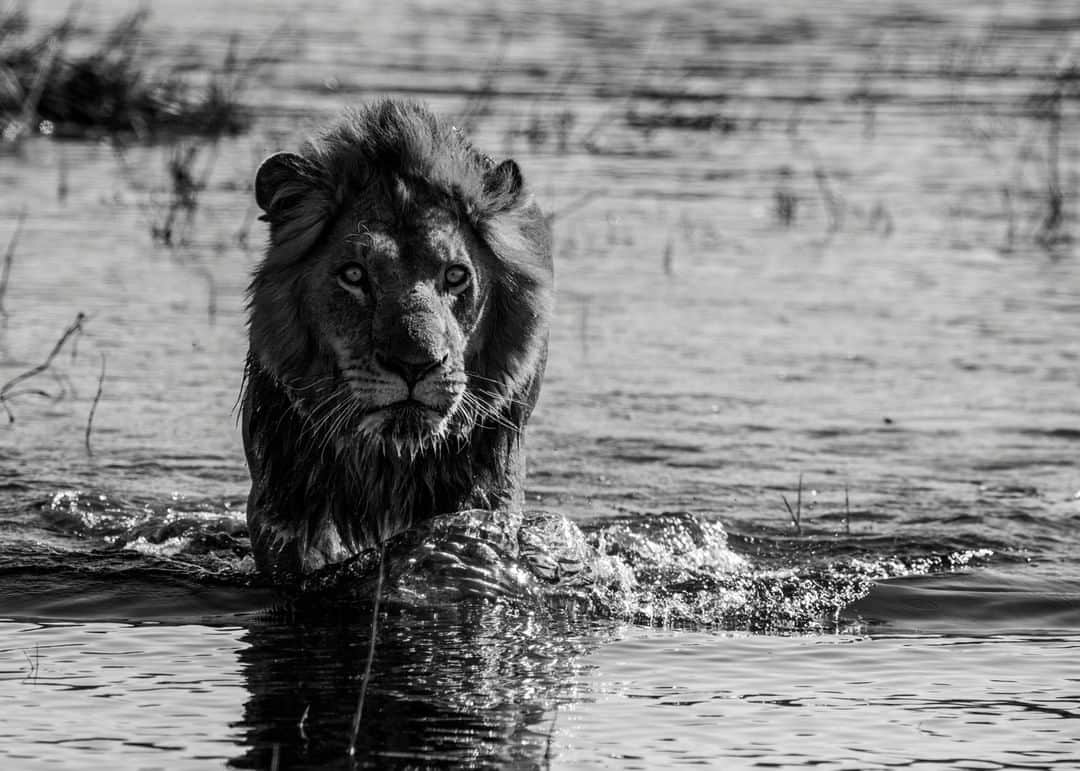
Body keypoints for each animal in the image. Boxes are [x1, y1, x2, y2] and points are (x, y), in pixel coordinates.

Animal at [241, 100, 552, 583]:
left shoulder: (491, 490)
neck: (392, 460)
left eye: (455, 275)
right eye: (354, 275)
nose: (414, 364)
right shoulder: (284, 510)